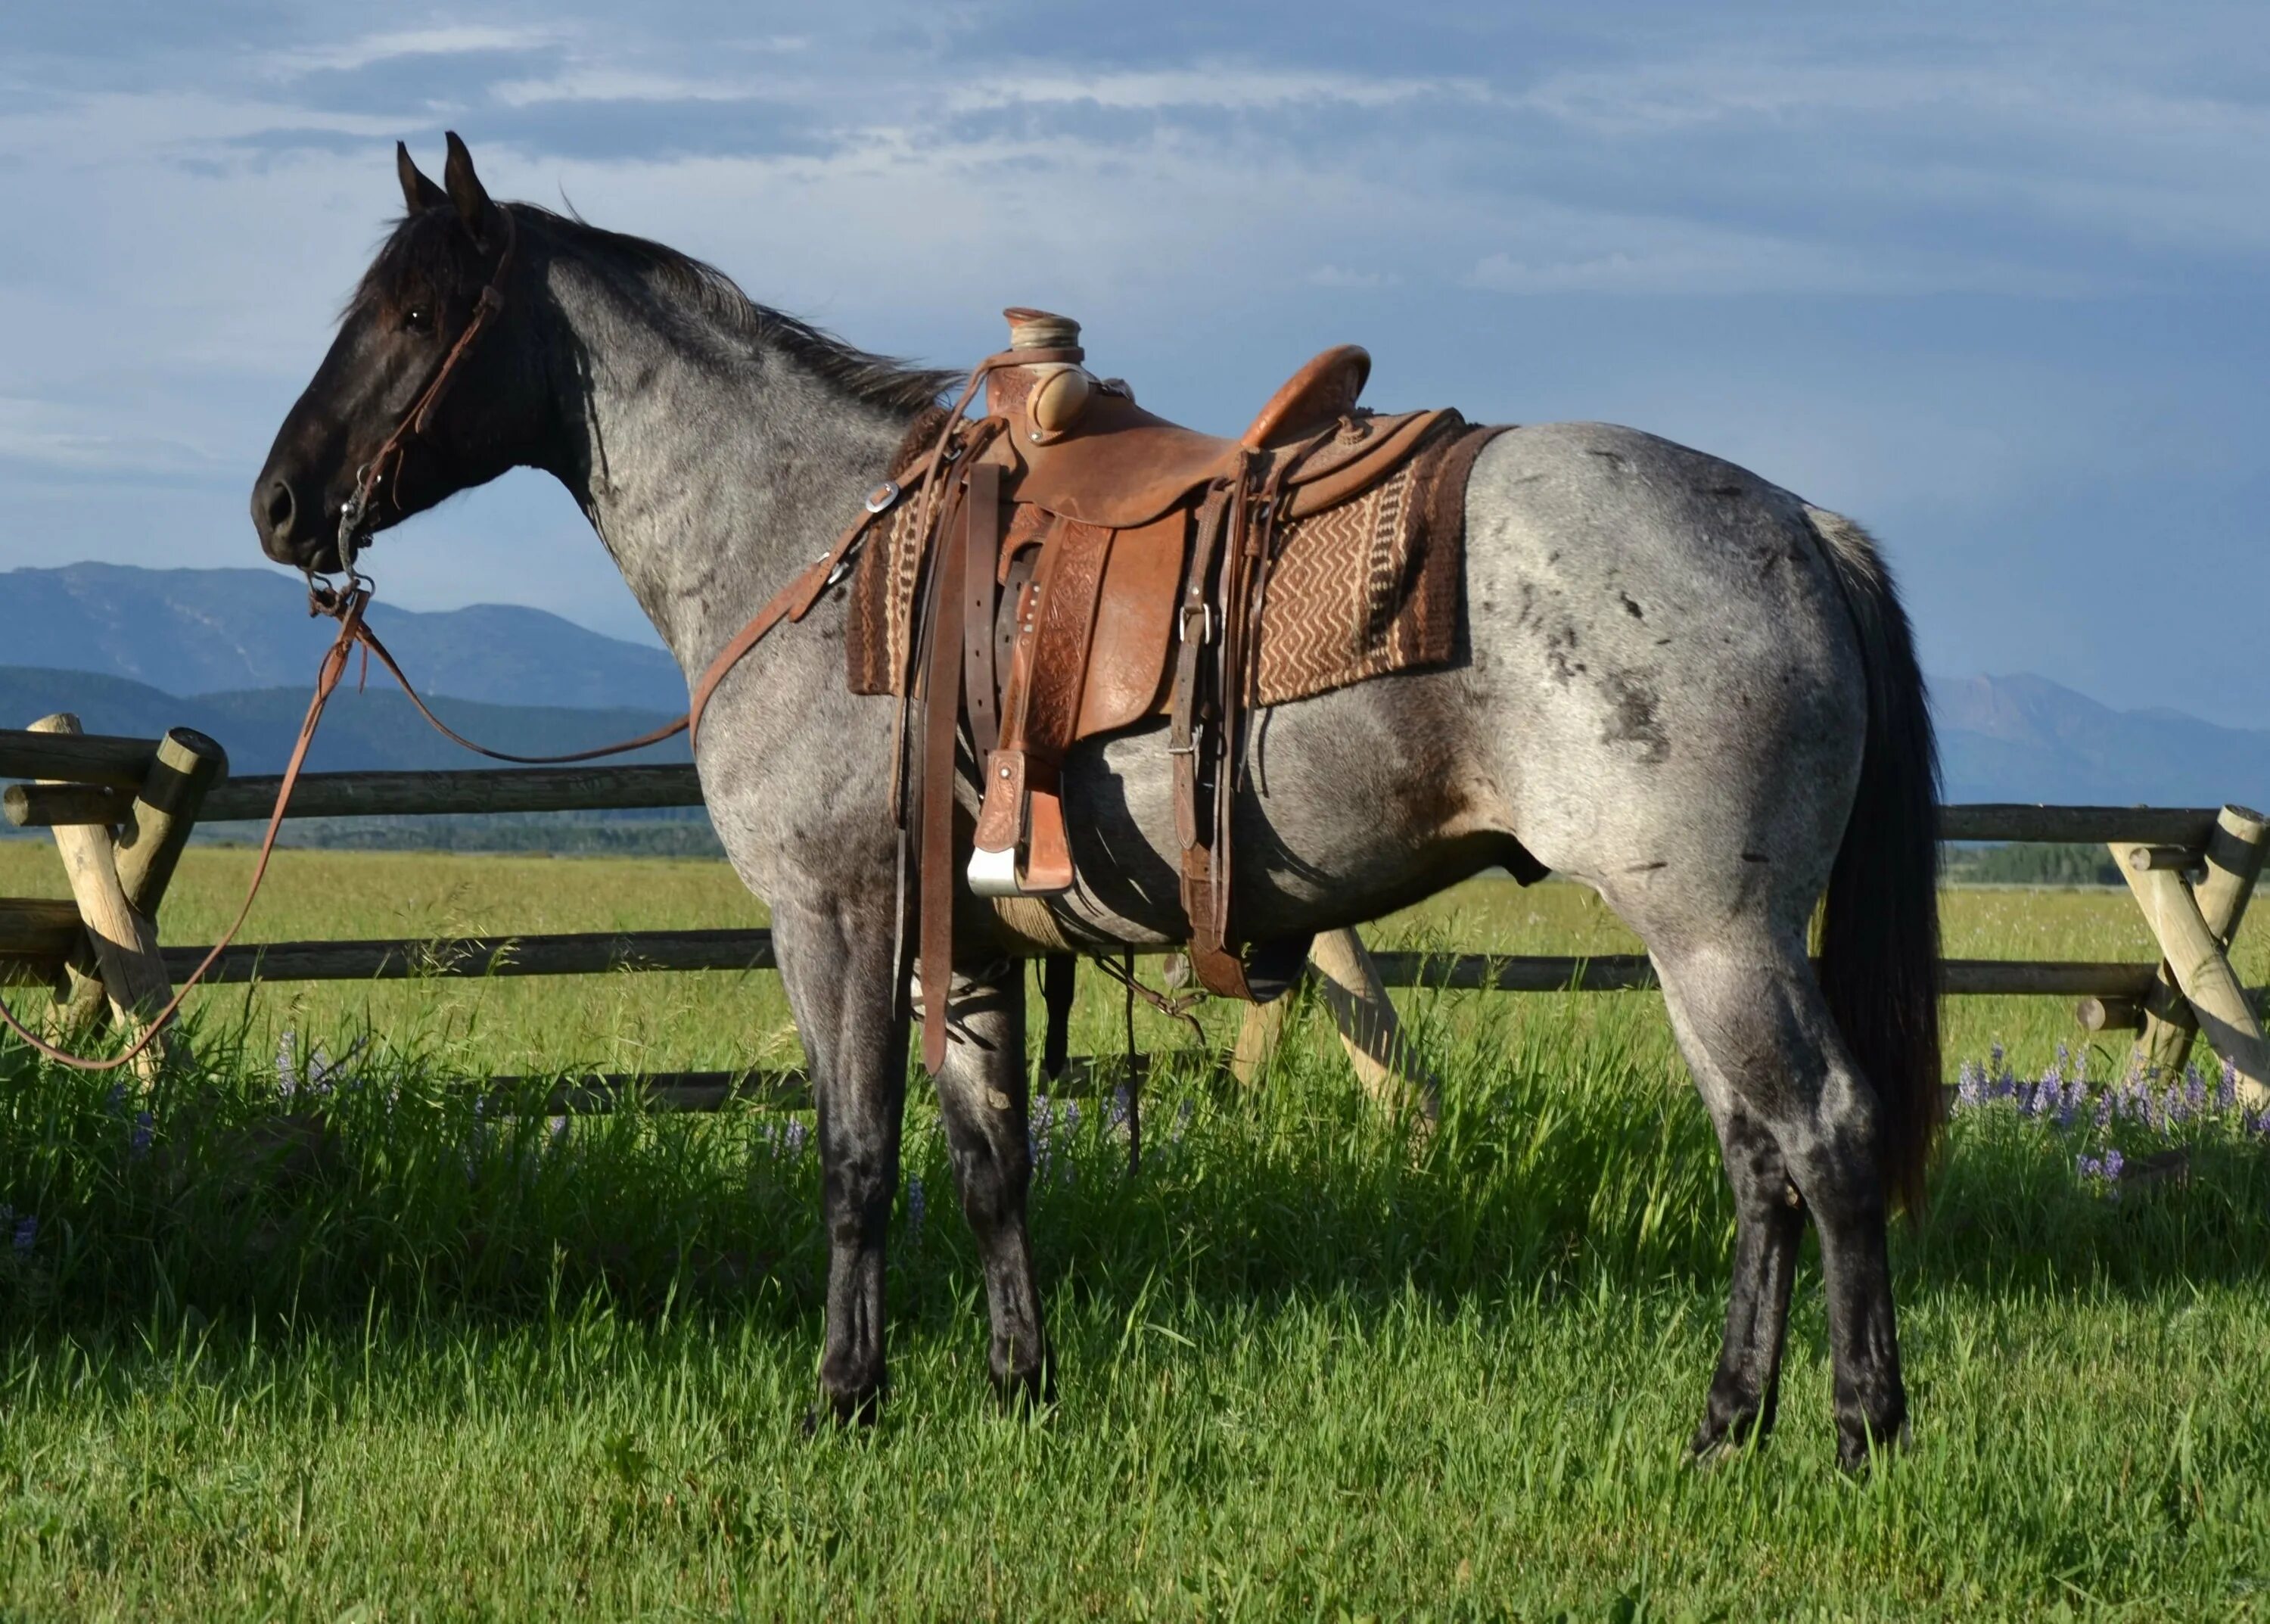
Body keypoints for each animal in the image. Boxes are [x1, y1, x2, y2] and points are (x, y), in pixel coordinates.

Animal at [257, 133, 1943, 1471]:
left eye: (418, 315)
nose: (279, 505)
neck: (817, 545)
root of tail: (1802, 522)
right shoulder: (973, 945)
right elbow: (992, 1162)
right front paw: (1022, 1389)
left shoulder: (837, 920)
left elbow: (855, 1160)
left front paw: (843, 1397)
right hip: (1701, 943)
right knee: (1759, 1161)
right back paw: (1724, 1428)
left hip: (1720, 934)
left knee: (1828, 1137)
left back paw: (1859, 1431)